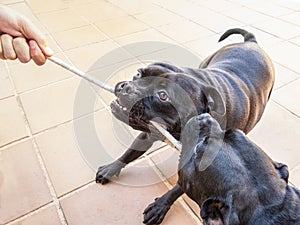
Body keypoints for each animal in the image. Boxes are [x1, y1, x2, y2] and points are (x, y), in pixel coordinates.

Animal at [95, 29, 274, 223]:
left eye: (163, 95)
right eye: (139, 74)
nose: (126, 87)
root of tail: (252, 42)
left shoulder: (196, 170)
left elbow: (178, 188)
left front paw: (160, 206)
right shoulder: (148, 134)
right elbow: (130, 152)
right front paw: (111, 168)